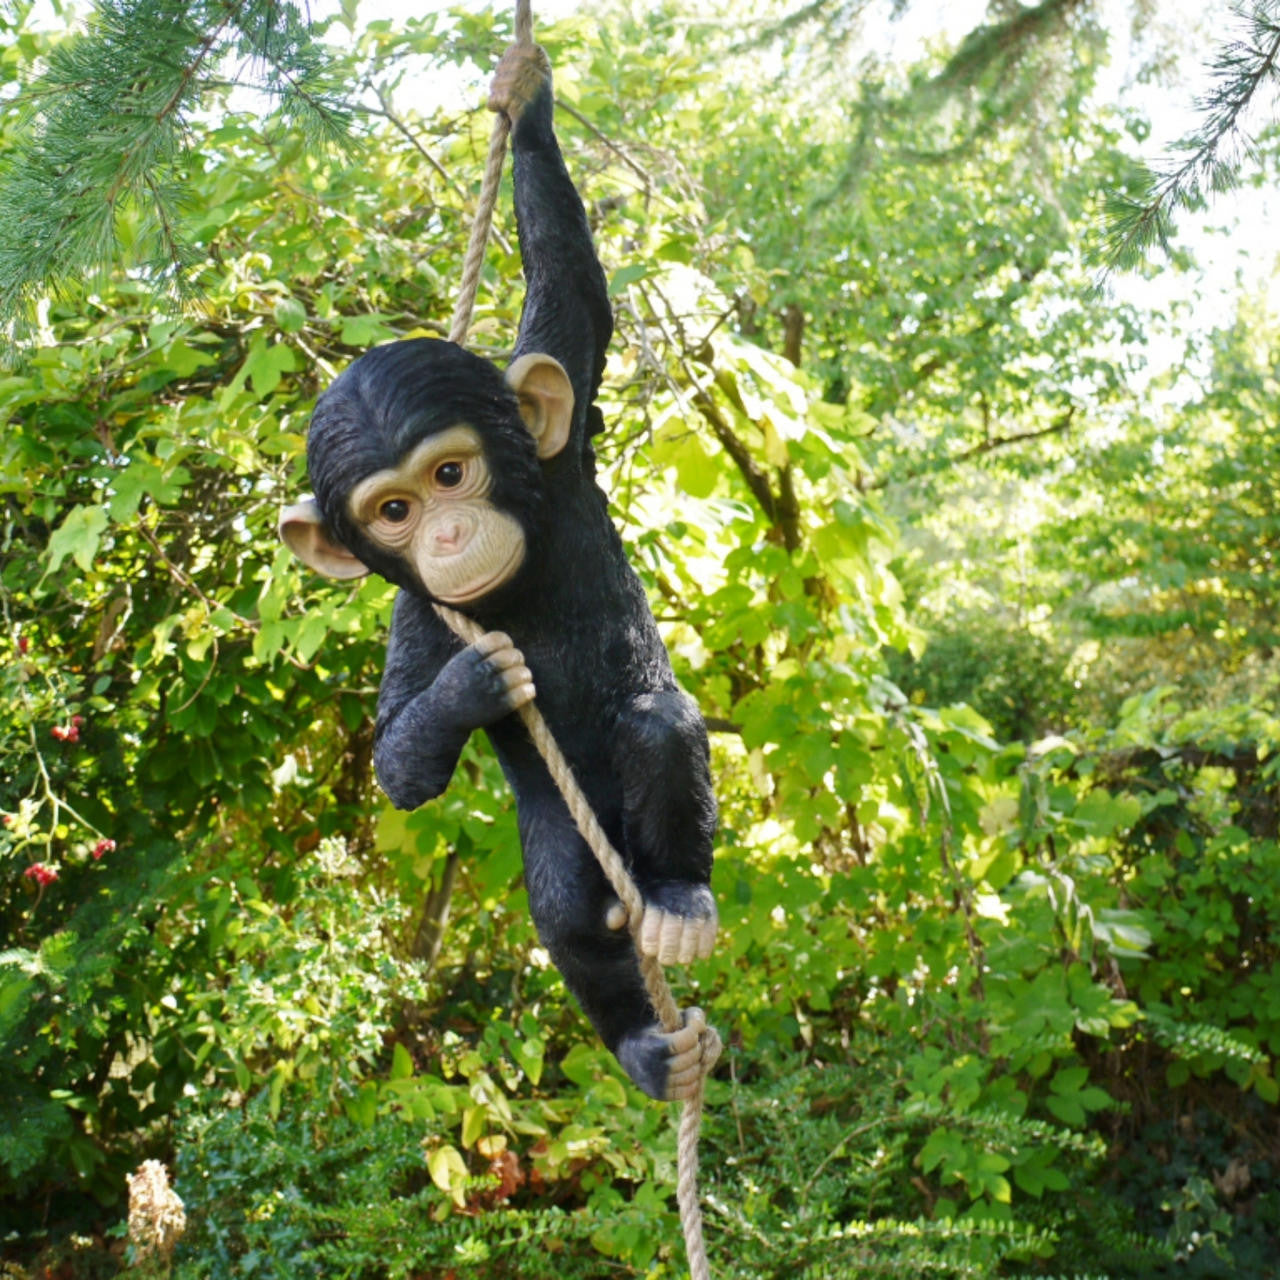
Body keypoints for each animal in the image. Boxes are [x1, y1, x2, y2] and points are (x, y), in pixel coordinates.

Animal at [280, 43, 716, 1101]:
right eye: (392, 512)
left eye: (449, 474)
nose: (444, 535)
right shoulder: (416, 617)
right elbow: (396, 759)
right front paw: (472, 686)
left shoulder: (562, 442)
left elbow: (574, 298)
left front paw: (526, 102)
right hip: (564, 836)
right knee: (562, 909)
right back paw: (643, 1045)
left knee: (658, 723)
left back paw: (681, 901)